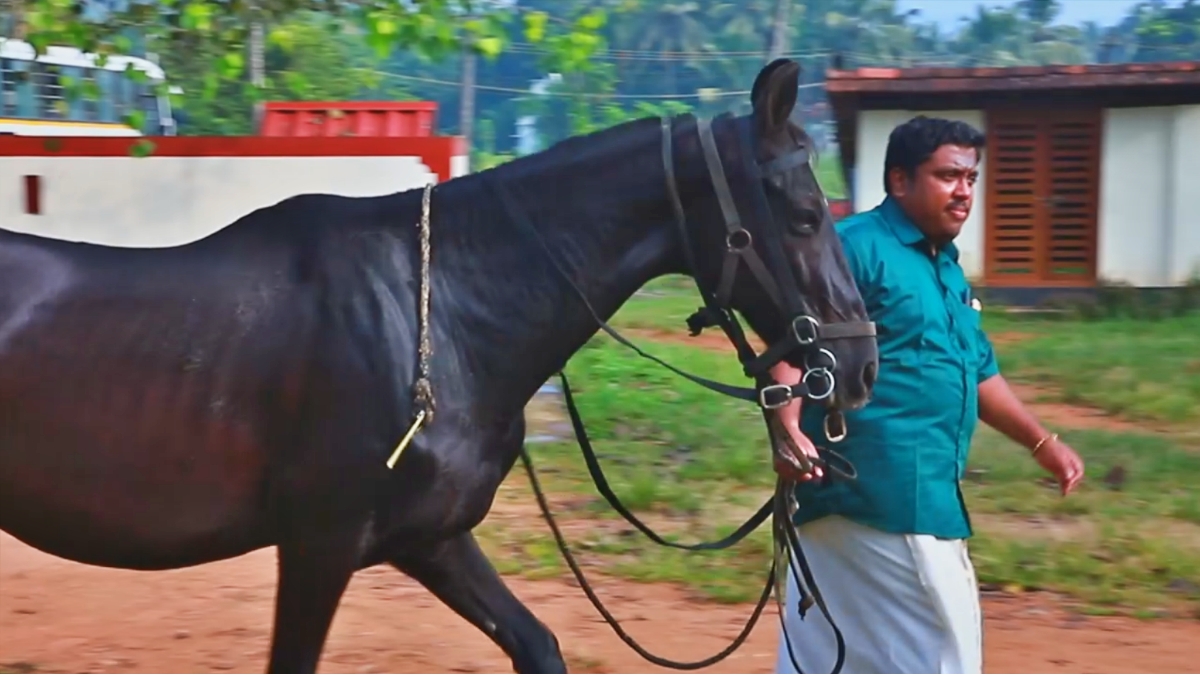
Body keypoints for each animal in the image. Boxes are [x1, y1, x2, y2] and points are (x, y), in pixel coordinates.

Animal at [2, 60, 883, 667]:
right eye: (807, 215)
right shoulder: (319, 544)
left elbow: (538, 644)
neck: (437, 318)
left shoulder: (430, 537)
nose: (860, 361)